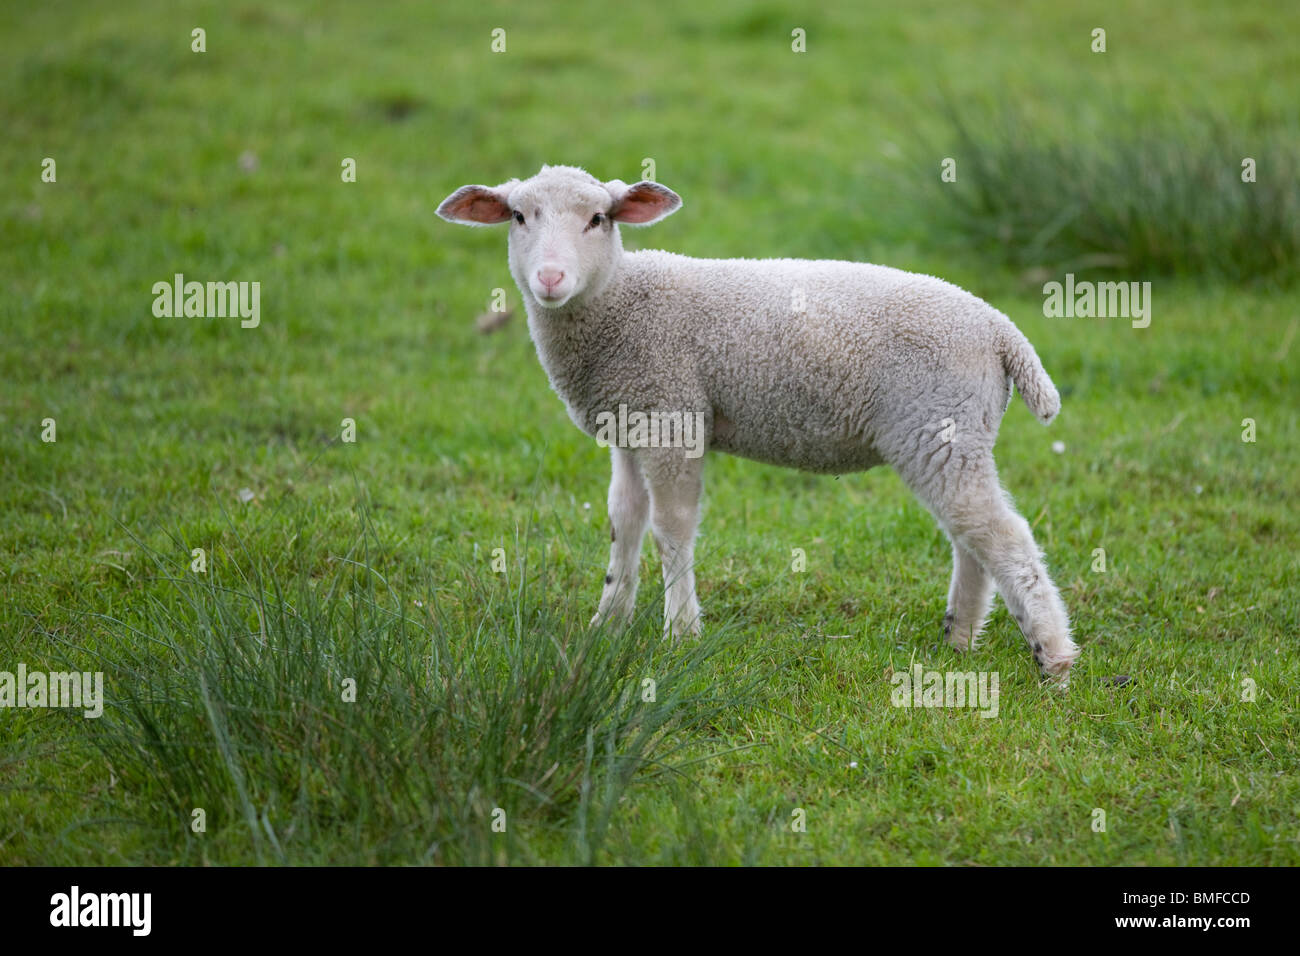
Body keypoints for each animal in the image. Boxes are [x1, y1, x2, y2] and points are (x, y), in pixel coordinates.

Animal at [441, 167, 1081, 686]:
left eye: (598, 218)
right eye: (518, 216)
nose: (550, 278)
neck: (619, 304)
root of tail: (1000, 330)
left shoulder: (672, 414)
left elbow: (672, 528)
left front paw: (681, 634)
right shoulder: (630, 420)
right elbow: (625, 522)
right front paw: (608, 624)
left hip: (938, 424)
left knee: (1002, 534)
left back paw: (1053, 658)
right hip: (953, 432)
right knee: (971, 534)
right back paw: (960, 637)